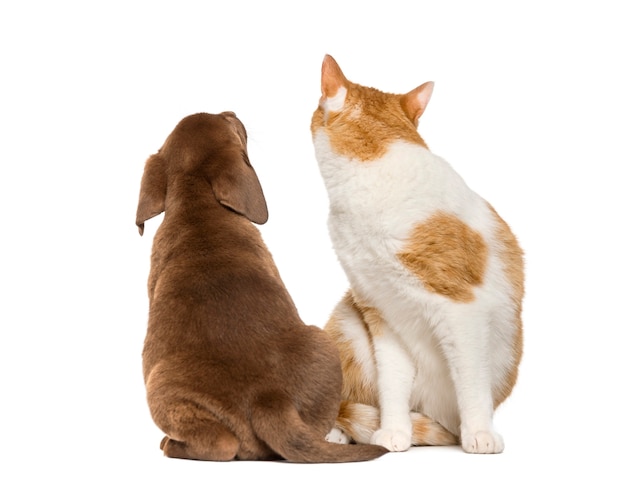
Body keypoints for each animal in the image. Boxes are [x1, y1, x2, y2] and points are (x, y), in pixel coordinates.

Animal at [310, 56, 520, 454]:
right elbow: (392, 383)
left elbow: (471, 380)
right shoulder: (381, 310)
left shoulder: (462, 308)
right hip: (347, 325)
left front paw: (479, 433)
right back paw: (339, 432)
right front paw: (394, 431)